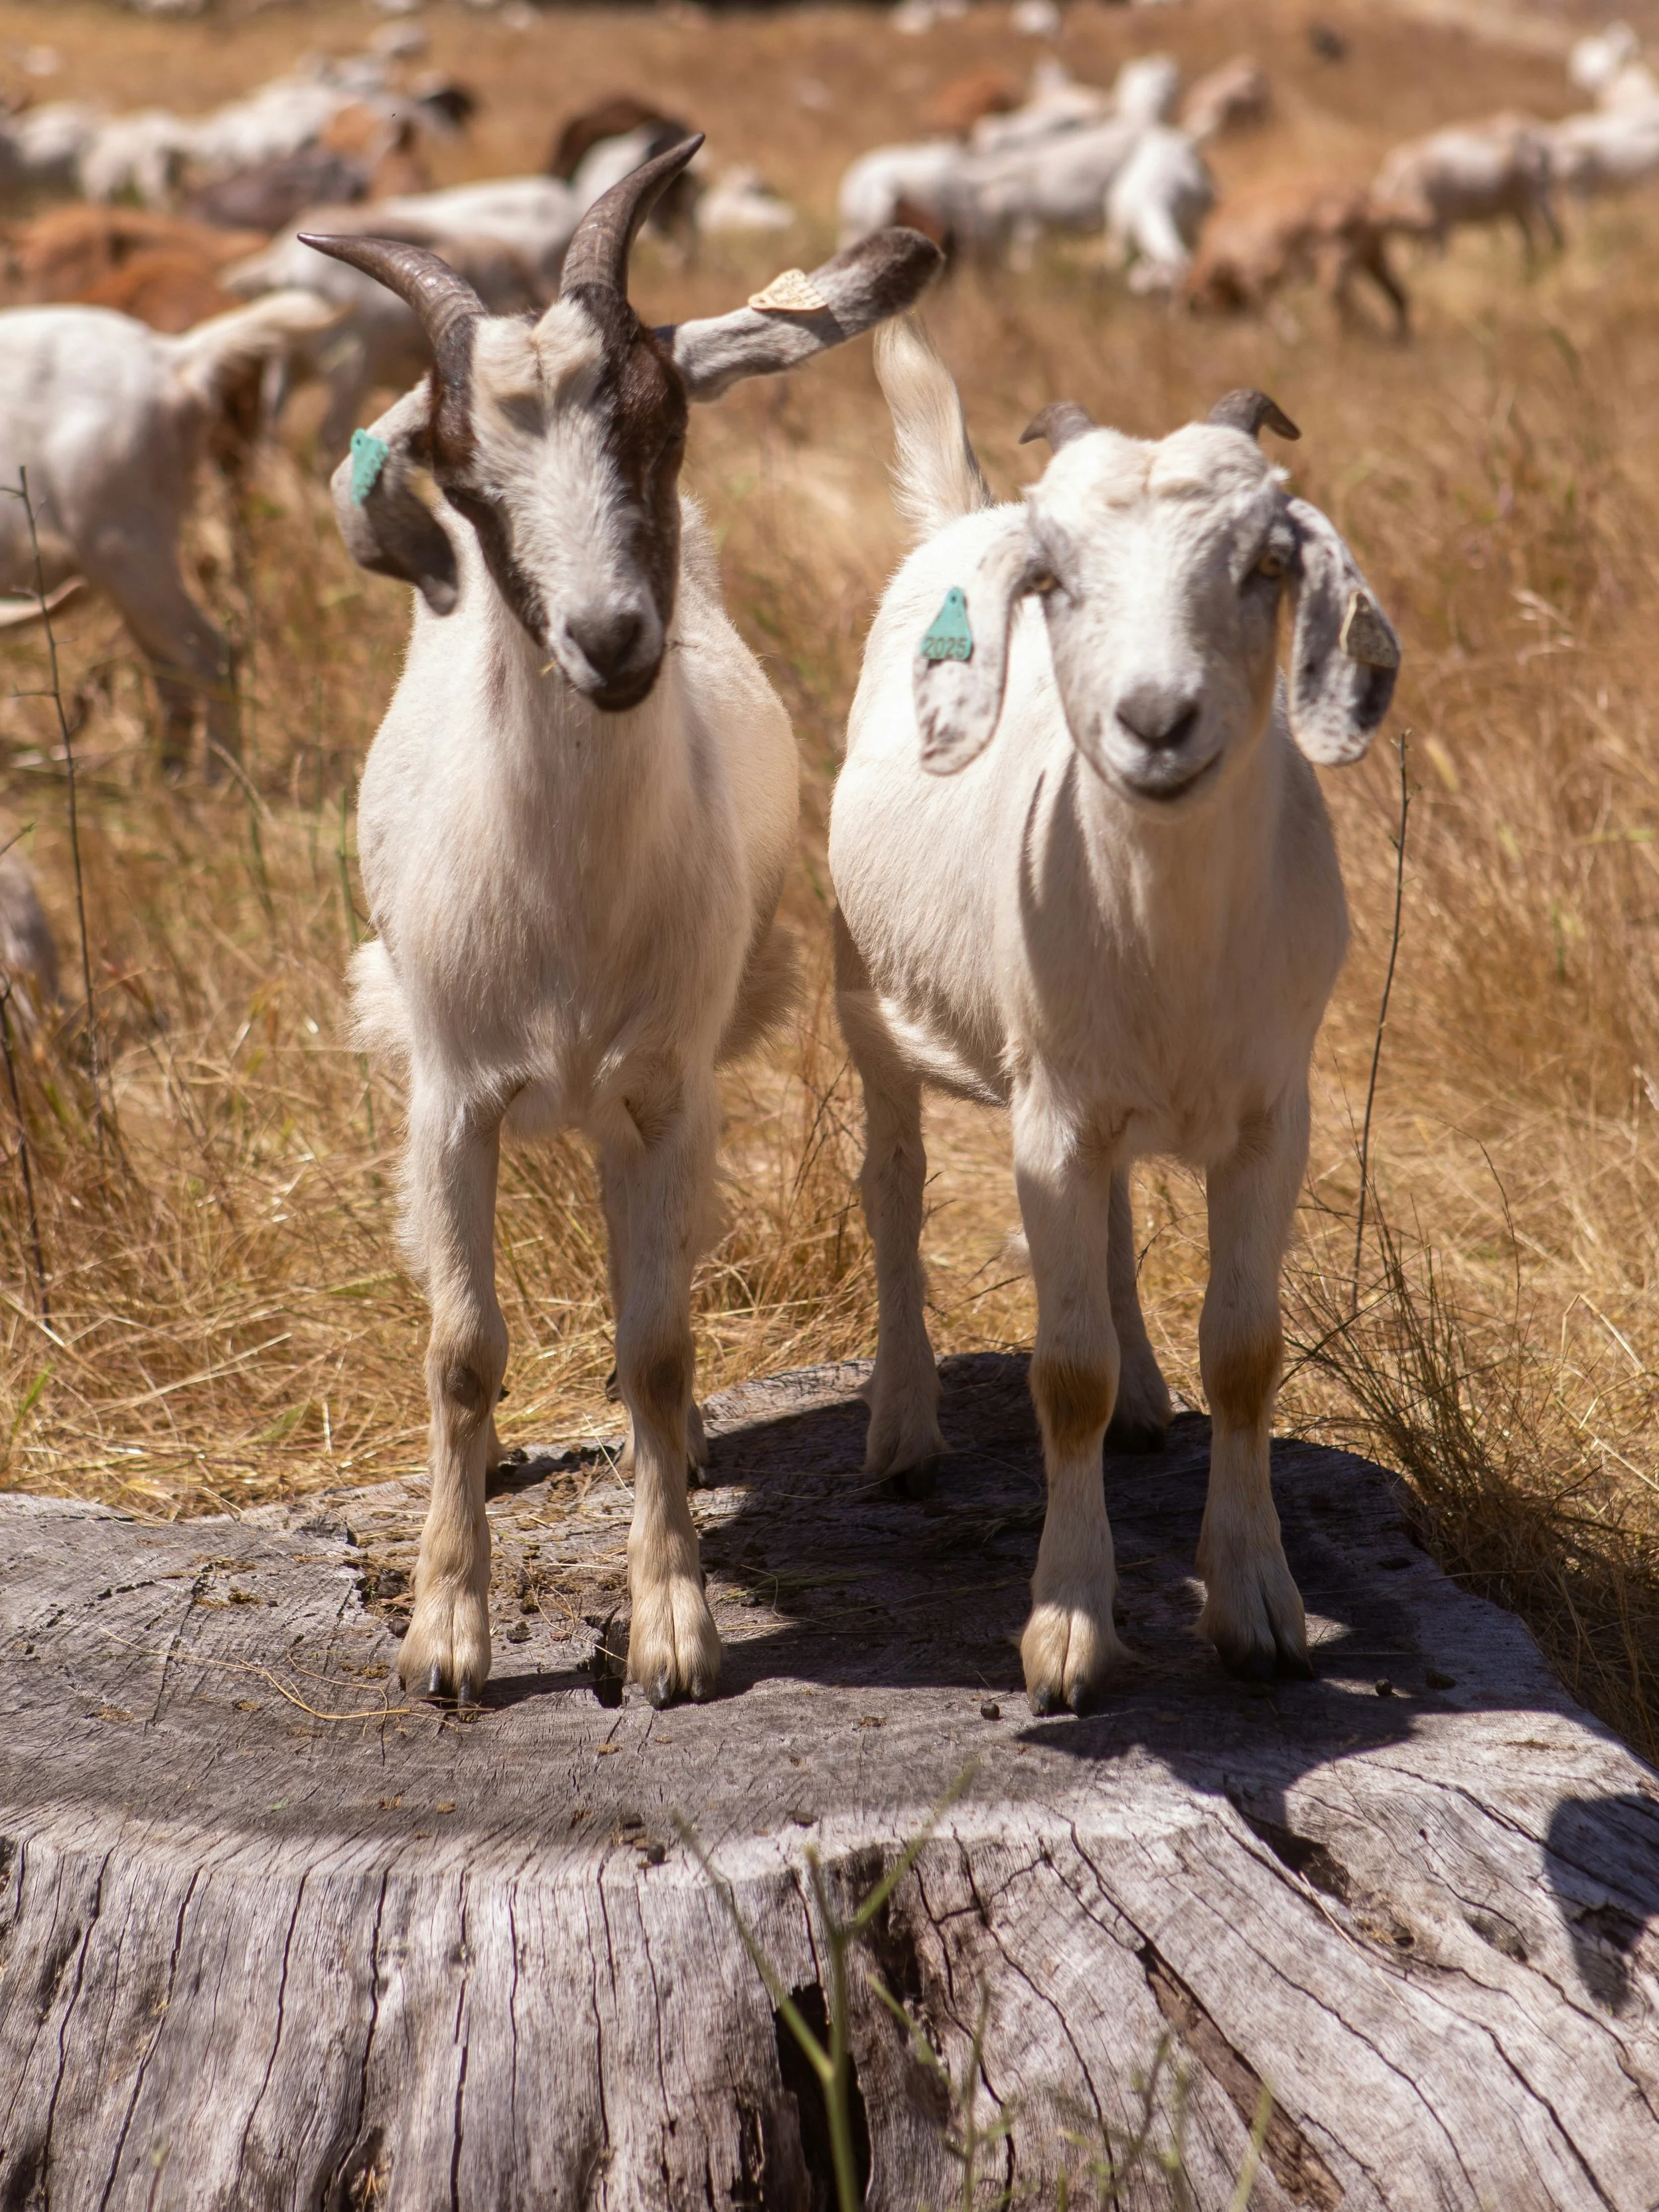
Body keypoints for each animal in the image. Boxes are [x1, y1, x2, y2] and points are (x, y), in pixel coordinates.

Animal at [0, 290, 336, 774]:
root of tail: (172, 358)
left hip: (125, 545)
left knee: (211, 654)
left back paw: (220, 781)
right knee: (171, 669)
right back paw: (172, 779)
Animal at [302, 143, 940, 1705]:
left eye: (662, 423)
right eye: (462, 475)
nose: (608, 640)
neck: (568, 908)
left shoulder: (665, 1085)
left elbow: (656, 1343)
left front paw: (675, 1631)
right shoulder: (451, 1098)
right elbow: (461, 1350)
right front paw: (446, 1636)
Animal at [828, 323, 1399, 1709]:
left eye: (1265, 563)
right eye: (1056, 581)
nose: (1157, 721)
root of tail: (961, 516)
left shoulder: (1273, 1112)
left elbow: (1244, 1350)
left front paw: (1257, 1605)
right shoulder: (1049, 1116)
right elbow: (1062, 1372)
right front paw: (1070, 1629)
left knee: (1121, 1216)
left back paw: (1146, 1397)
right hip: (871, 1000)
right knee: (894, 1187)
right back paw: (903, 1427)